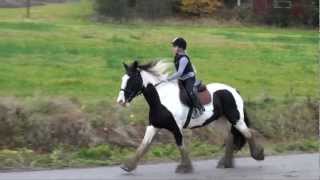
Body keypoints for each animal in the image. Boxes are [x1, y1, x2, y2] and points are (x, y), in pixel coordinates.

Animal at [116, 60, 264, 173]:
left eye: (131, 79)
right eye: (122, 79)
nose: (120, 101)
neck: (161, 99)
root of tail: (234, 90)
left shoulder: (176, 128)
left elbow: (181, 146)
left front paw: (185, 168)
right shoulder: (153, 126)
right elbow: (143, 145)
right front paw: (128, 166)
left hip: (236, 119)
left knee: (248, 133)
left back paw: (258, 154)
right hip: (219, 121)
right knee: (230, 138)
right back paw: (225, 163)